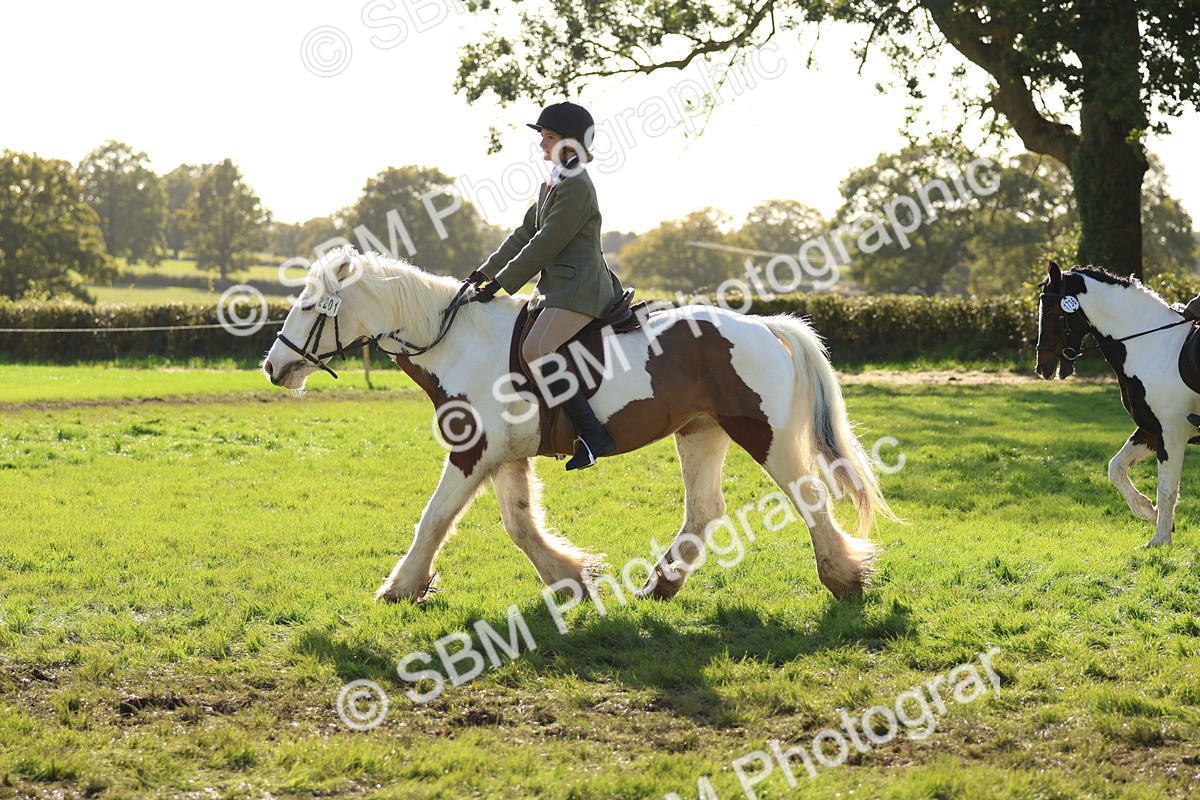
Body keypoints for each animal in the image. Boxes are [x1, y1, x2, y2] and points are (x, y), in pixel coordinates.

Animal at [262, 247, 893, 603]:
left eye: (311, 305)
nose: (273, 366)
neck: (458, 343)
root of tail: (763, 324)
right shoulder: (503, 456)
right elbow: (519, 526)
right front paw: (571, 579)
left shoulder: (472, 452)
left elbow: (434, 519)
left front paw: (400, 588)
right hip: (700, 432)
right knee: (705, 510)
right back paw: (660, 585)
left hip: (764, 435)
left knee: (809, 498)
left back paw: (844, 580)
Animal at [1036, 261, 1199, 547]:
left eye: (1052, 311)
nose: (1041, 367)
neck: (1152, 346)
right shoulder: (1150, 430)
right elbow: (1116, 468)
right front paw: (1149, 512)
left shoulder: (1172, 433)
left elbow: (1167, 489)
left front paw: (1159, 541)